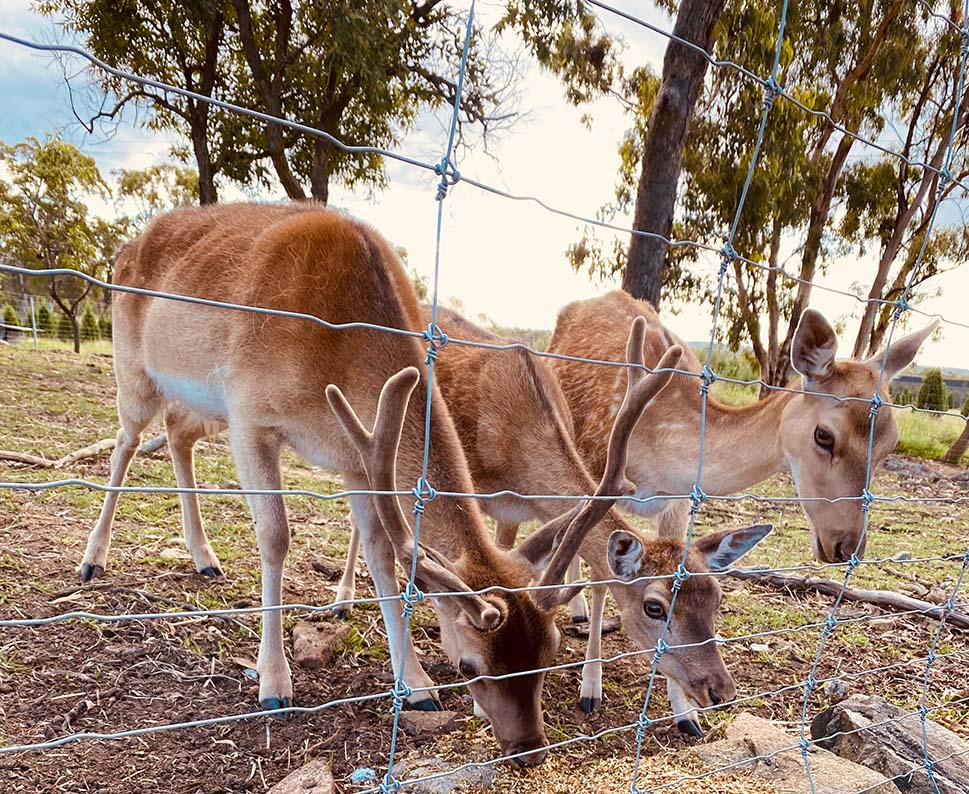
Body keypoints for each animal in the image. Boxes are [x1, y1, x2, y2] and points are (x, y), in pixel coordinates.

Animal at [79, 201, 676, 764]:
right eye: (470, 665)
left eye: (549, 652)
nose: (528, 748)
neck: (334, 345)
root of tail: (128, 245)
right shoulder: (250, 414)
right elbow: (275, 538)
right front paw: (274, 683)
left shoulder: (356, 454)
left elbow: (382, 554)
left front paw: (416, 685)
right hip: (137, 368)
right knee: (126, 442)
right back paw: (93, 558)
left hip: (199, 403)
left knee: (177, 434)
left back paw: (203, 556)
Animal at [332, 306, 772, 732]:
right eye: (654, 607)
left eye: (716, 598)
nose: (722, 690)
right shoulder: (483, 501)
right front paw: (481, 699)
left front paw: (683, 714)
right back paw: (344, 601)